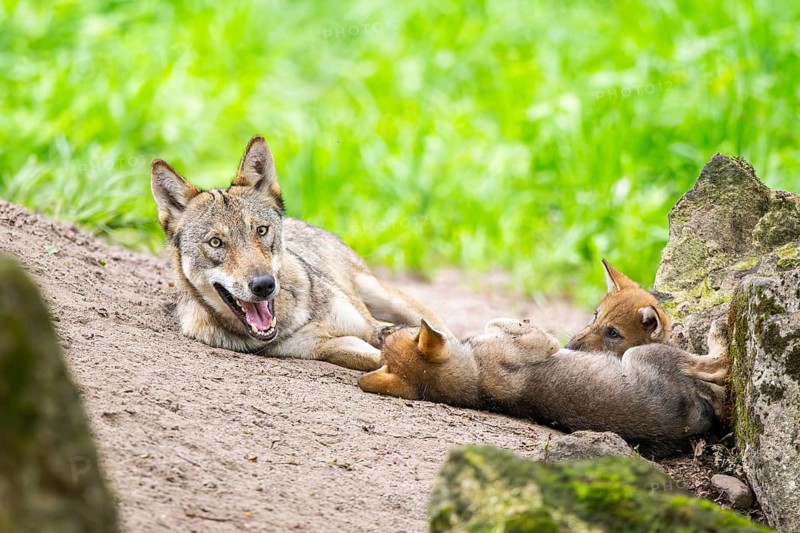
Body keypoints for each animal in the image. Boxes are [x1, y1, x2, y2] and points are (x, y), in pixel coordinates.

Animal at [151, 135, 448, 371]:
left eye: (261, 230)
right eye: (215, 243)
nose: (264, 285)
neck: (292, 319)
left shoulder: (371, 327)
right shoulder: (326, 347)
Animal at [359, 318, 728, 457]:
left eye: (392, 334)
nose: (379, 330)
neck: (474, 375)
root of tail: (690, 426)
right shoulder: (541, 341)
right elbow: (506, 325)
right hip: (647, 353)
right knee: (716, 365)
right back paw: (720, 334)